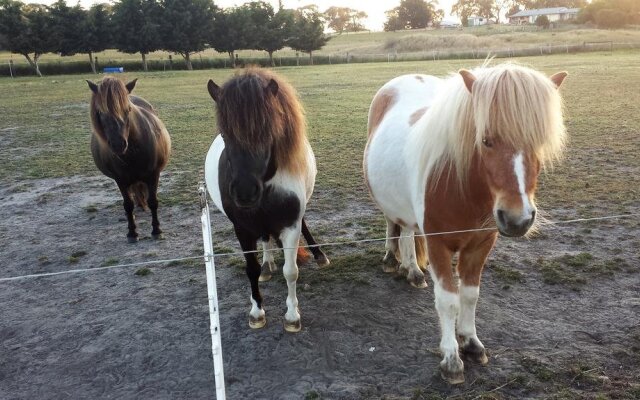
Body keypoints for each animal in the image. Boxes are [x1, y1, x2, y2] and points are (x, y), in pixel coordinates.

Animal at [89, 77, 172, 242]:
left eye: (127, 110)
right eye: (100, 112)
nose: (118, 144)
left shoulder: (153, 175)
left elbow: (153, 202)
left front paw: (157, 230)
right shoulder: (120, 180)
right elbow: (127, 205)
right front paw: (132, 232)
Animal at [362, 63, 568, 384]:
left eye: (540, 141)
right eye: (485, 140)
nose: (517, 219)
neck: (460, 187)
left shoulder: (481, 245)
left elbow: (470, 295)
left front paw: (471, 343)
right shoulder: (437, 245)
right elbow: (448, 300)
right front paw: (451, 359)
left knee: (407, 231)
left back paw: (412, 270)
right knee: (396, 227)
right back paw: (396, 262)